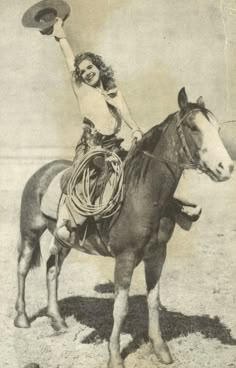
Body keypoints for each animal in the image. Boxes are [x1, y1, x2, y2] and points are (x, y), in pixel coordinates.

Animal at [13, 87, 233, 366]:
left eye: (217, 127)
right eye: (193, 127)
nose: (226, 167)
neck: (142, 194)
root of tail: (42, 171)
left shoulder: (157, 254)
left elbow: (153, 301)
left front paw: (161, 349)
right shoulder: (125, 258)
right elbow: (120, 307)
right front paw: (115, 356)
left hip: (63, 239)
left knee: (53, 269)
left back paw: (58, 321)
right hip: (30, 231)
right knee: (22, 268)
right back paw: (22, 318)